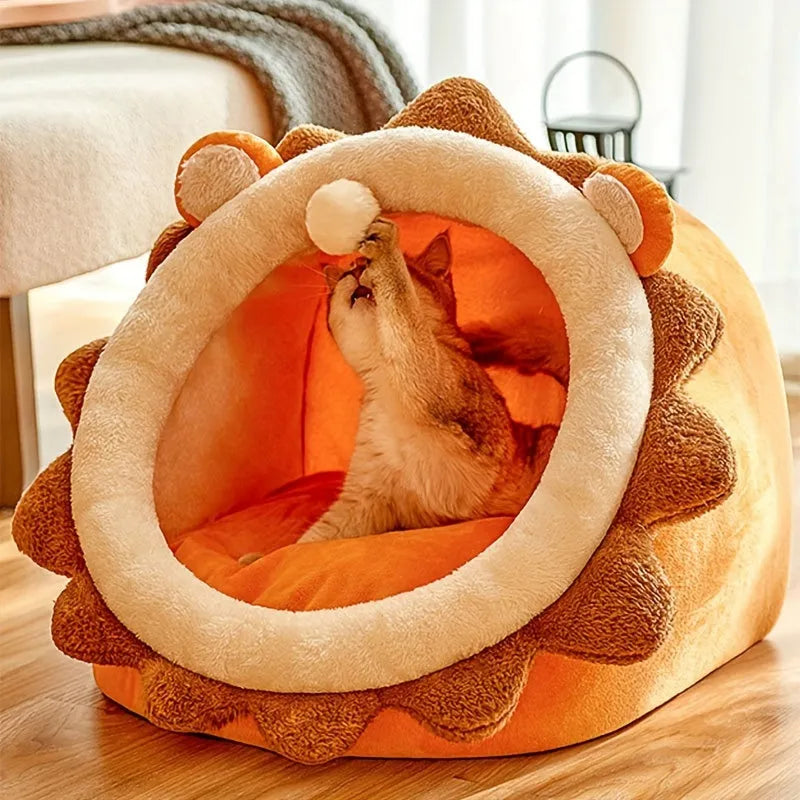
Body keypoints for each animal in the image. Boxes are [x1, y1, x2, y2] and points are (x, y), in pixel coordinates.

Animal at [296, 219, 564, 544]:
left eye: (361, 266)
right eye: (347, 273)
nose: (358, 268)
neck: (387, 382)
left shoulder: (435, 375)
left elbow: (404, 312)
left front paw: (385, 249)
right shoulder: (363, 501)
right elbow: (308, 541)